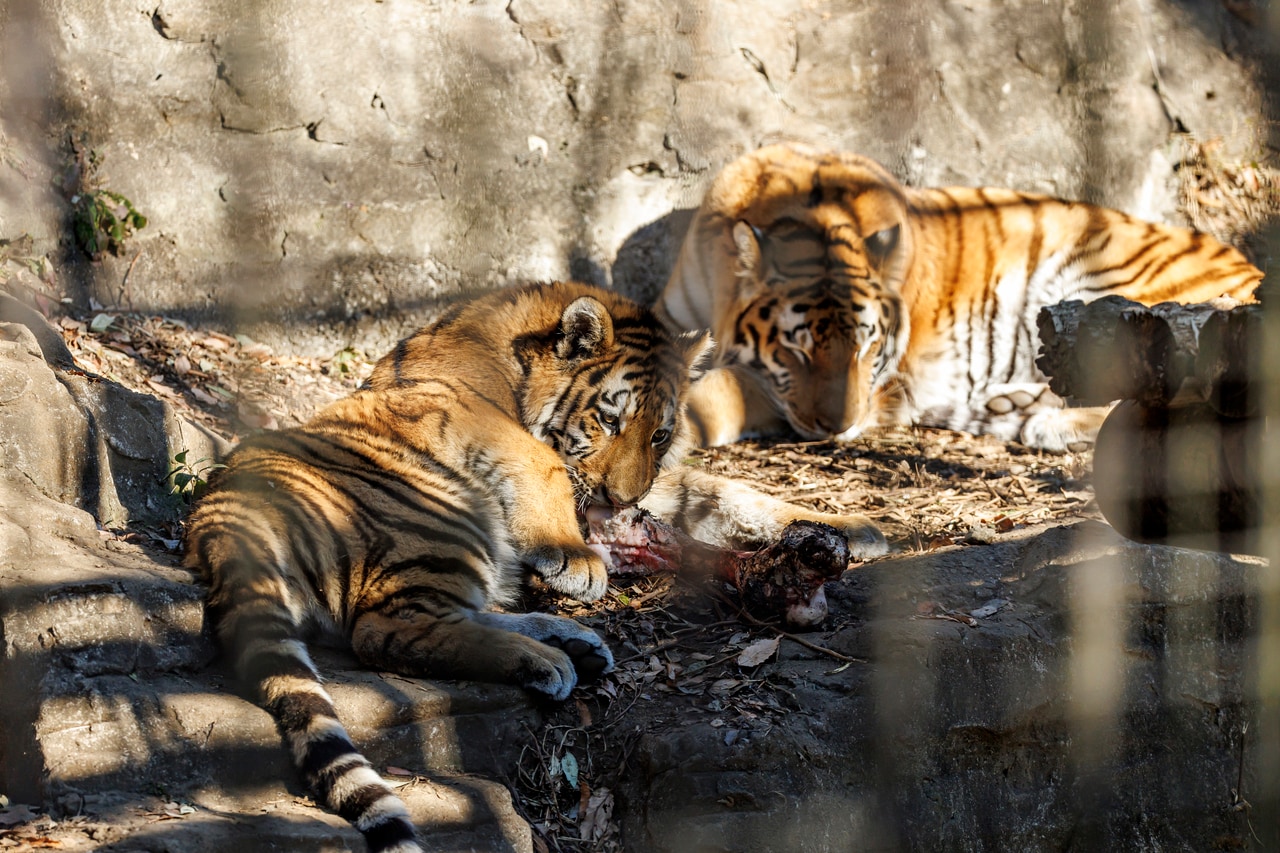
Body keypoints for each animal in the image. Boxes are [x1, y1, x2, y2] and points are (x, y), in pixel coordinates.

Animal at [183, 279, 890, 850]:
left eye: (660, 433)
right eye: (608, 420)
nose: (621, 502)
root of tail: (219, 520)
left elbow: (722, 491)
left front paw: (853, 528)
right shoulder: (484, 423)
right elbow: (545, 461)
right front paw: (579, 559)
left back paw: (572, 644)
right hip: (441, 516)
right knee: (388, 630)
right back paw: (549, 658)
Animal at [655, 142, 1264, 450]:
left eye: (868, 348)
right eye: (796, 350)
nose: (839, 429)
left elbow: (725, 385)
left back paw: (1041, 420)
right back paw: (1009, 404)